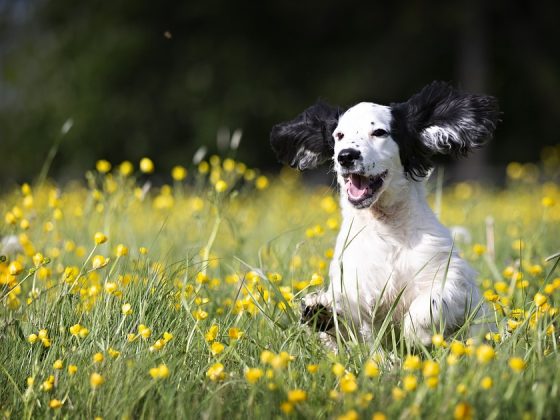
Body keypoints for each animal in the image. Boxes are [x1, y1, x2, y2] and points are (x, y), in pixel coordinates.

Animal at [270, 80, 498, 346]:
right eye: (339, 135)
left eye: (379, 132)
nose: (346, 156)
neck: (386, 228)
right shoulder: (355, 284)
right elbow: (347, 320)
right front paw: (321, 311)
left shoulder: (453, 279)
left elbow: (429, 303)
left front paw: (418, 335)